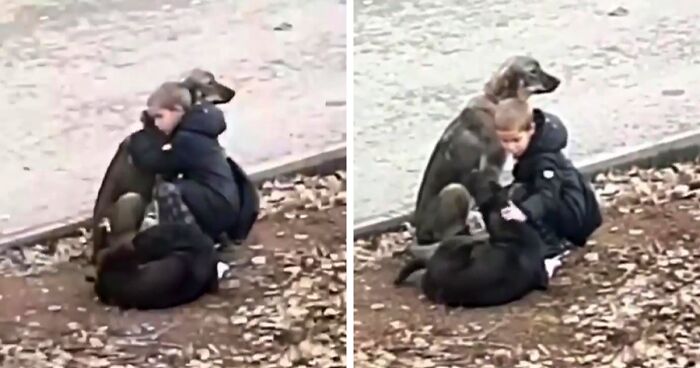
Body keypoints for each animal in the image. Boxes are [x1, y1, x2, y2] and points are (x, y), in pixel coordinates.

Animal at [412, 56, 560, 256]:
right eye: (533, 71)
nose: (558, 81)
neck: (497, 101)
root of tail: (419, 233)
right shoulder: (487, 170)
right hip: (456, 190)